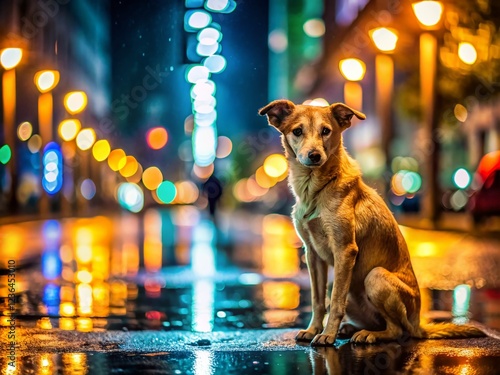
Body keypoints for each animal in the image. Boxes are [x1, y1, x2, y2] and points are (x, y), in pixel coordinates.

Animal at [260, 100, 486, 346]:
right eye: (297, 131)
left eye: (326, 131)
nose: (314, 155)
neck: (315, 190)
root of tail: (419, 325)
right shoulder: (313, 255)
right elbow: (318, 301)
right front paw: (313, 330)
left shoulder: (344, 250)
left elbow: (335, 302)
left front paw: (327, 334)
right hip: (351, 288)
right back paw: (349, 328)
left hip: (375, 277)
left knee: (397, 330)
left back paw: (369, 335)